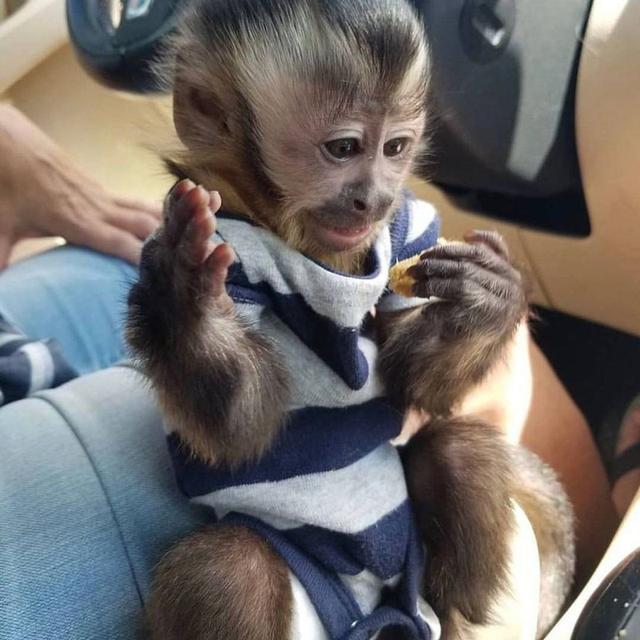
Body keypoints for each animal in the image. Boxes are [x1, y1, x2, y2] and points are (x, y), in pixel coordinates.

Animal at [126, 0, 575, 638]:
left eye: (395, 149)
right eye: (343, 150)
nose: (374, 199)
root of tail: (375, 605)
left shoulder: (411, 228)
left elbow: (412, 379)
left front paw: (489, 297)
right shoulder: (227, 243)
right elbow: (239, 425)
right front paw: (181, 295)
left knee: (458, 450)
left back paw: (456, 609)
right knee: (230, 569)